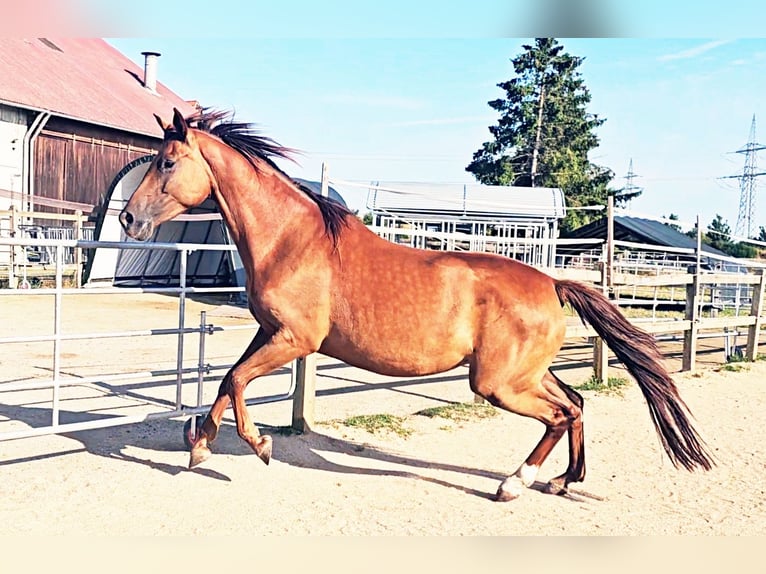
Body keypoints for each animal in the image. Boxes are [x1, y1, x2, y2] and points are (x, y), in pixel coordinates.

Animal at [119, 108, 713, 501]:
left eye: (167, 162)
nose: (128, 219)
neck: (291, 240)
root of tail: (552, 283)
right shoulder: (269, 333)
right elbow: (227, 381)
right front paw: (200, 443)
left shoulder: (294, 340)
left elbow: (237, 380)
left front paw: (257, 444)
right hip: (524, 373)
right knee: (575, 404)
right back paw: (563, 480)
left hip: (497, 383)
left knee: (560, 413)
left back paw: (514, 483)